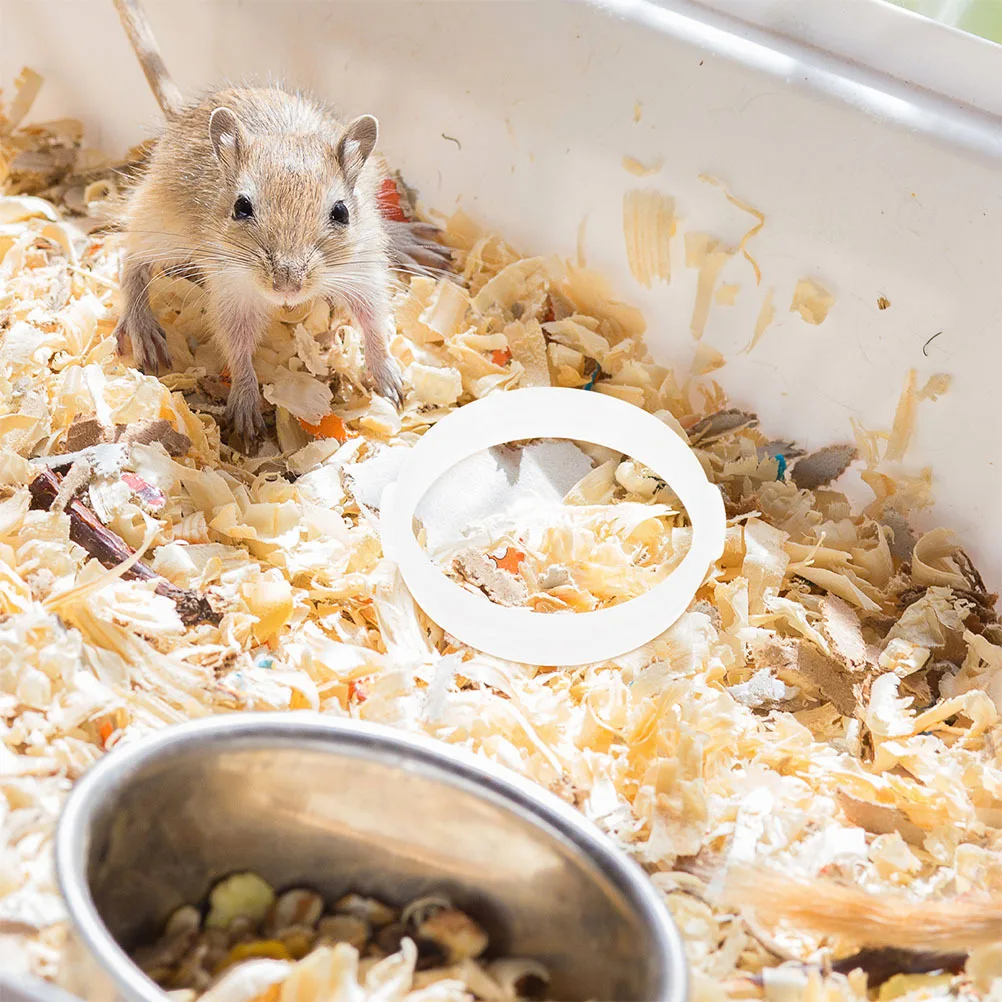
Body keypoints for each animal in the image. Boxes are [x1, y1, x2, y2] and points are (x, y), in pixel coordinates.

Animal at [110, 0, 451, 451]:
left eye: (341, 212)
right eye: (241, 207)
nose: (287, 288)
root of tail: (184, 113)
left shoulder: (363, 273)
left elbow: (374, 325)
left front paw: (392, 385)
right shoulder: (233, 293)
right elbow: (238, 349)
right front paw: (246, 417)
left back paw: (412, 242)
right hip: (161, 220)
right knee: (131, 260)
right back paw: (144, 332)